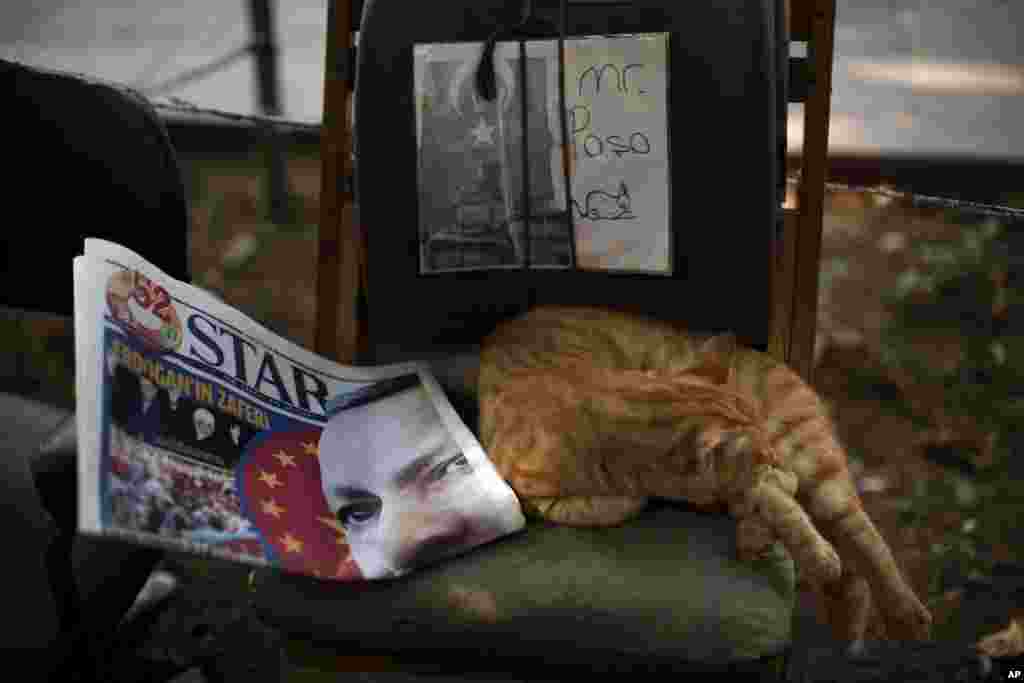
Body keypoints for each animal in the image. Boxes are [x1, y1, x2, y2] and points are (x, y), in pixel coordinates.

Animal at [475, 307, 933, 643]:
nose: (773, 458)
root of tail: (774, 360)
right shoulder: (532, 493)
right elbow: (606, 506)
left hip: (812, 464)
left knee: (859, 534)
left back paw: (902, 614)